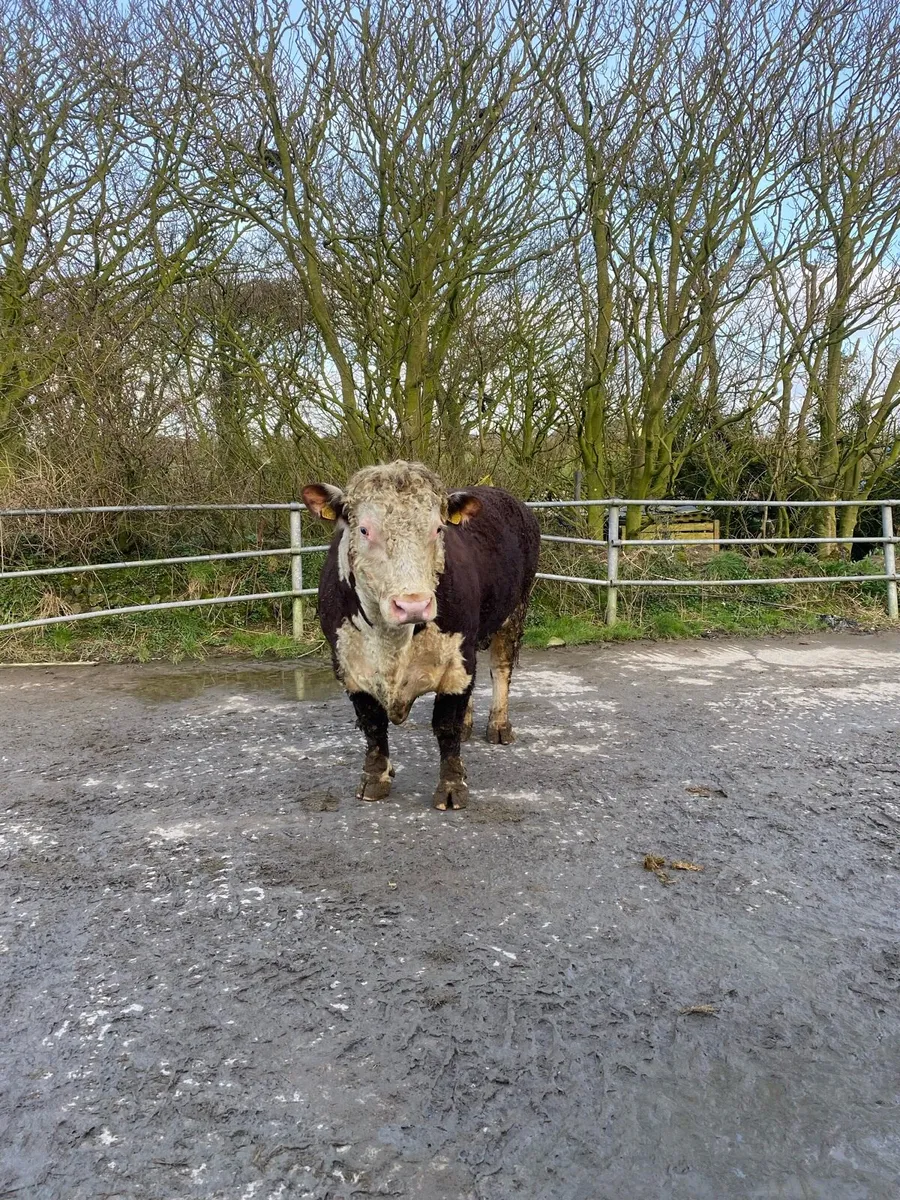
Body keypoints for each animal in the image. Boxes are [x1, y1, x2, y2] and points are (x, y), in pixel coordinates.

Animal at [302, 461, 540, 810]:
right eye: (364, 530)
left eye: (438, 529)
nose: (413, 604)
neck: (390, 641)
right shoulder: (347, 663)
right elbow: (372, 722)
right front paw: (376, 777)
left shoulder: (456, 660)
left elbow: (446, 724)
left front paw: (452, 786)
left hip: (515, 609)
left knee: (501, 669)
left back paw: (498, 725)